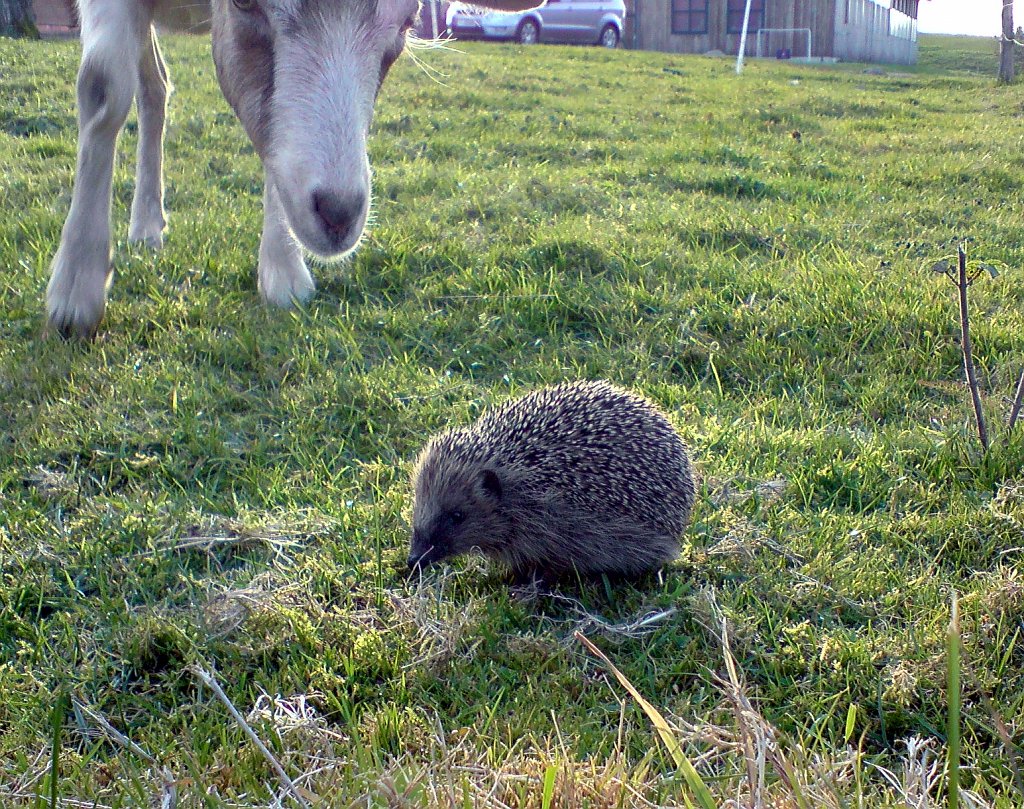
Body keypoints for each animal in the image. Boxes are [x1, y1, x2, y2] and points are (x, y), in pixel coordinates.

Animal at [47, 0, 533, 338]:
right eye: (243, 1)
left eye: (409, 19)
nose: (338, 214)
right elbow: (103, 88)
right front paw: (75, 290)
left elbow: (276, 152)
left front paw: (283, 273)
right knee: (147, 86)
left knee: (156, 86)